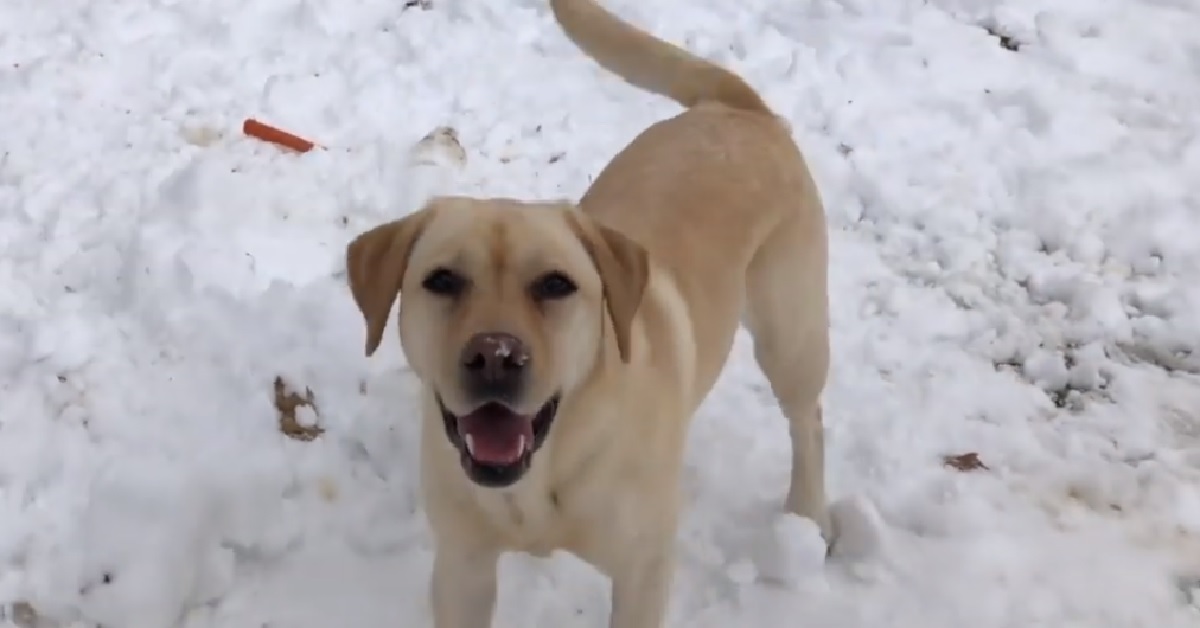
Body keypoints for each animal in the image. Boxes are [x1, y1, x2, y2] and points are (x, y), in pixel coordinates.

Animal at [348, 0, 835, 624]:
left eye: (556, 285)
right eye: (443, 280)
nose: (495, 357)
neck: (543, 477)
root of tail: (737, 109)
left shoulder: (643, 571)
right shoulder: (462, 565)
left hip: (789, 336)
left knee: (808, 421)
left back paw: (806, 516)